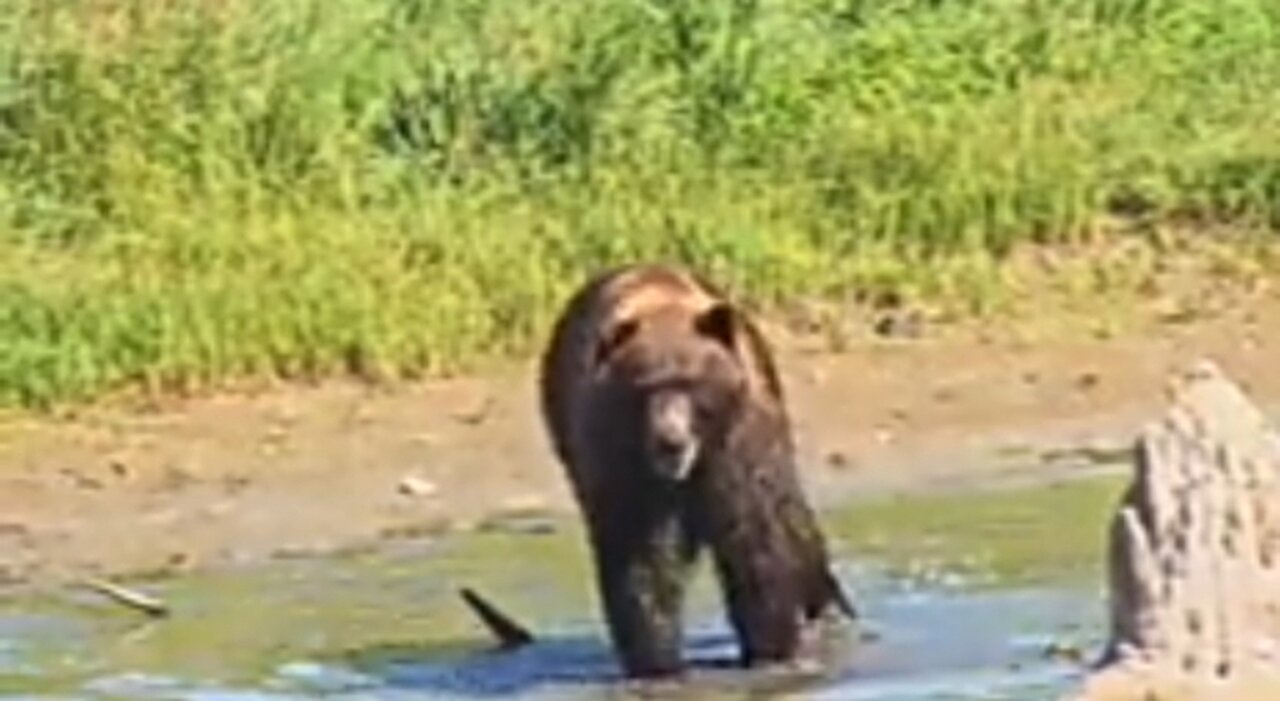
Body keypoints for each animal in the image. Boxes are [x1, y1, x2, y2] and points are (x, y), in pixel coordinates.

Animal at [535, 263, 855, 680]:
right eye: (644, 385)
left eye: (691, 382)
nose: (670, 440)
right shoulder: (620, 462)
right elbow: (640, 557)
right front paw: (659, 662)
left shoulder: (737, 444)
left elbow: (755, 534)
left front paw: (773, 649)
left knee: (795, 520)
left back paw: (830, 611)